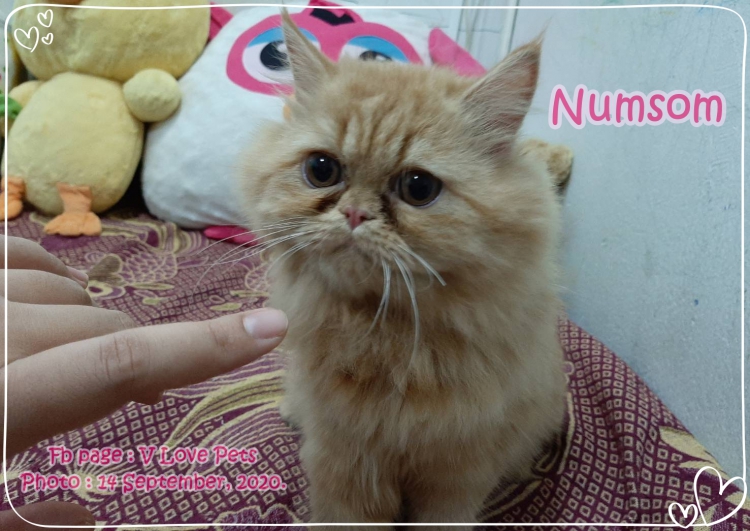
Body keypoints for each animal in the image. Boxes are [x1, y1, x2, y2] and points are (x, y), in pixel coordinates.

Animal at [239, 11, 568, 527]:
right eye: (322, 170)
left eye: (418, 187)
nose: (355, 214)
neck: (387, 338)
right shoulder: (347, 464)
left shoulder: (456, 475)